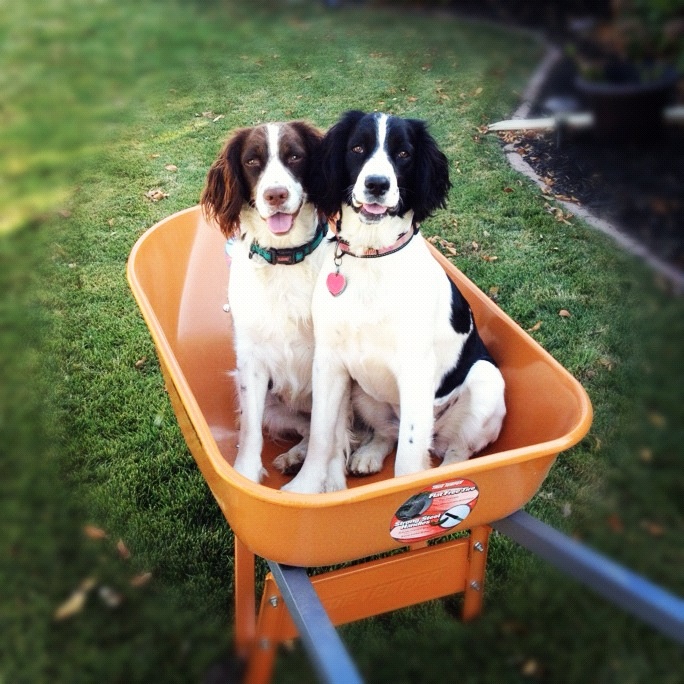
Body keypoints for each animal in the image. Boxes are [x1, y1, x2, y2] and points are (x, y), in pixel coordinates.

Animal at [200, 123, 336, 486]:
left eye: (295, 156)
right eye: (251, 161)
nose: (275, 195)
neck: (285, 259)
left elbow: (329, 433)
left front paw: (313, 486)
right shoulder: (251, 361)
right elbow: (250, 432)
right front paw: (245, 477)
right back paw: (293, 455)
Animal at [280, 113, 504, 496]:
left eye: (403, 153)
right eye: (357, 148)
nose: (377, 184)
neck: (373, 257)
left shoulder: (415, 369)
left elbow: (410, 464)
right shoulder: (329, 362)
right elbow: (322, 435)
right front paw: (304, 489)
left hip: (486, 381)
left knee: (456, 452)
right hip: (363, 394)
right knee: (388, 434)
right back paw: (367, 455)